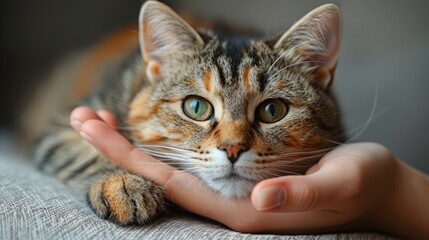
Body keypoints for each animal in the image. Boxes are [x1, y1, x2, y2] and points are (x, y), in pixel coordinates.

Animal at [34, 0, 344, 225]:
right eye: (196, 107)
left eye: (272, 110)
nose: (233, 149)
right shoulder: (63, 127)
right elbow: (90, 152)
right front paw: (122, 184)